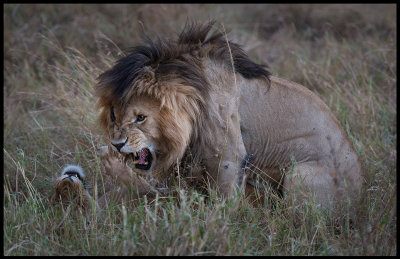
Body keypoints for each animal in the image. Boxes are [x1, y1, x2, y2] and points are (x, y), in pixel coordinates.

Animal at [52, 20, 362, 215]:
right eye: (114, 114)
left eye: (140, 117)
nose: (117, 145)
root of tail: (360, 197)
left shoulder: (229, 157)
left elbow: (220, 205)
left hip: (301, 174)